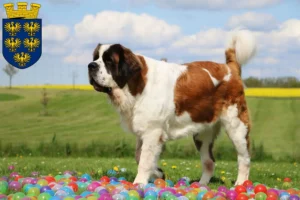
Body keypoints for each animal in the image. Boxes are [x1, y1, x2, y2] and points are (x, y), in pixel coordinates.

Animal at [88, 28, 256, 185]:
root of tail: (230, 68)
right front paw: (158, 173)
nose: (91, 65)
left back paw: (240, 183)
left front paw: (138, 183)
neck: (136, 84)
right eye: (95, 58)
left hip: (237, 127)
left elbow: (143, 161)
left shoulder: (152, 132)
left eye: (109, 61)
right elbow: (139, 156)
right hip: (202, 134)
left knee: (244, 158)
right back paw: (201, 185)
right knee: (209, 162)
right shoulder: (145, 131)